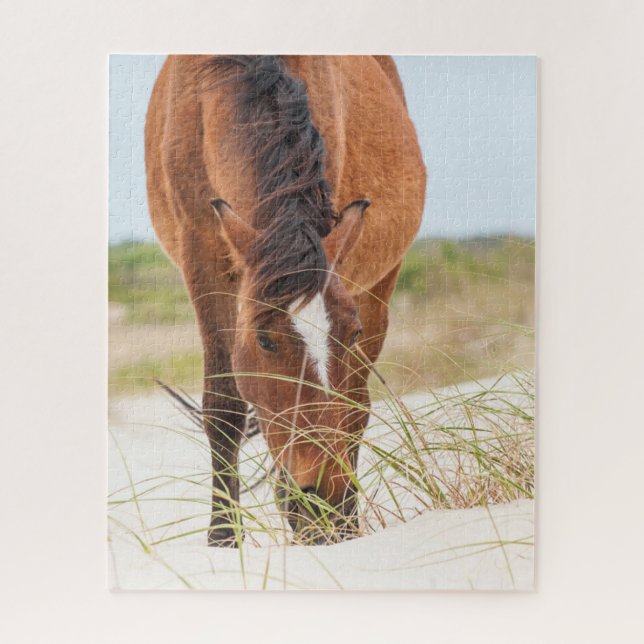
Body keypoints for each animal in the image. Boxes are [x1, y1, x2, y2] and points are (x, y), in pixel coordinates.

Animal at [145, 55, 426, 546]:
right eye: (265, 341)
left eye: (351, 331)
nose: (326, 497)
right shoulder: (201, 257)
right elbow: (224, 407)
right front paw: (223, 538)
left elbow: (346, 408)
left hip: (380, 286)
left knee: (357, 405)